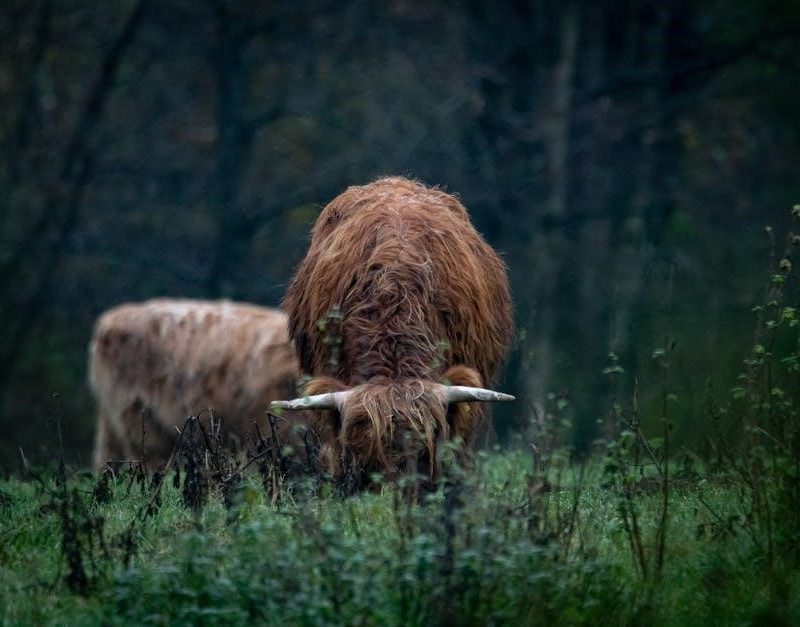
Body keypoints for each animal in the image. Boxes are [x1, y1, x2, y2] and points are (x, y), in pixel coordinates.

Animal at [89, 299, 308, 471]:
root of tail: (108, 322)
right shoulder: (266, 426)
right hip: (136, 412)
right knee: (145, 456)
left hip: (113, 419)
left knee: (107, 461)